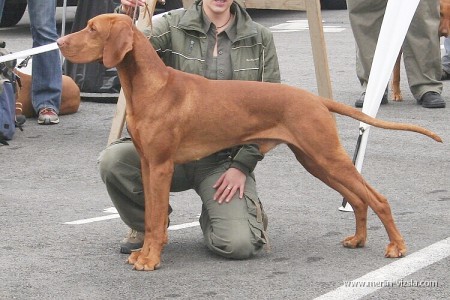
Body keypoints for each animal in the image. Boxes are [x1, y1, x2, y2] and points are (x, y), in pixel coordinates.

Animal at [57, 14, 442, 270]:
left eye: (92, 29)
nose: (59, 43)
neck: (153, 86)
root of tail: (315, 99)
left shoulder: (161, 165)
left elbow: (155, 217)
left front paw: (151, 259)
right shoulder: (148, 163)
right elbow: (152, 216)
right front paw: (145, 251)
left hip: (327, 156)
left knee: (378, 198)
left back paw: (396, 246)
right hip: (314, 160)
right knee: (358, 199)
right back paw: (359, 239)